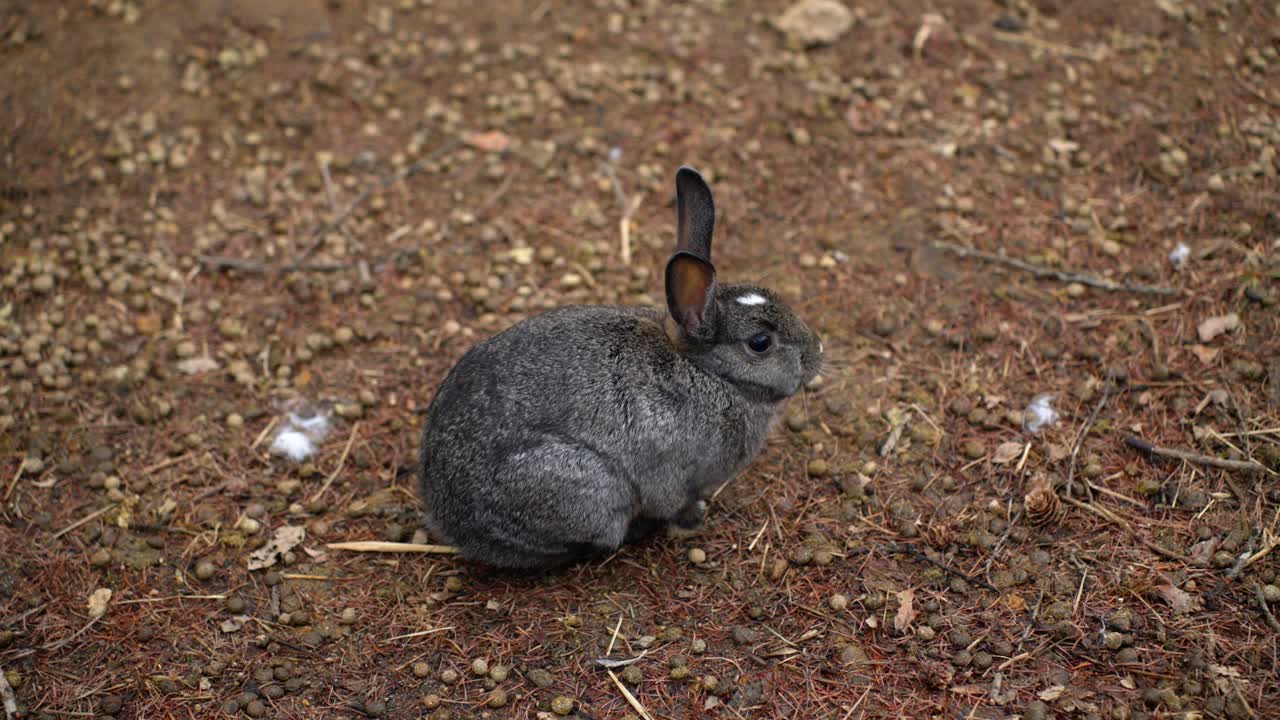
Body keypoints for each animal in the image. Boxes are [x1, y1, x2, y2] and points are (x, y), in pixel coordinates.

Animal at [418, 166, 823, 568]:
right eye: (760, 343)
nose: (817, 352)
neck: (708, 371)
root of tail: (450, 518)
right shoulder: (674, 476)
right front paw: (693, 518)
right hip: (584, 488)